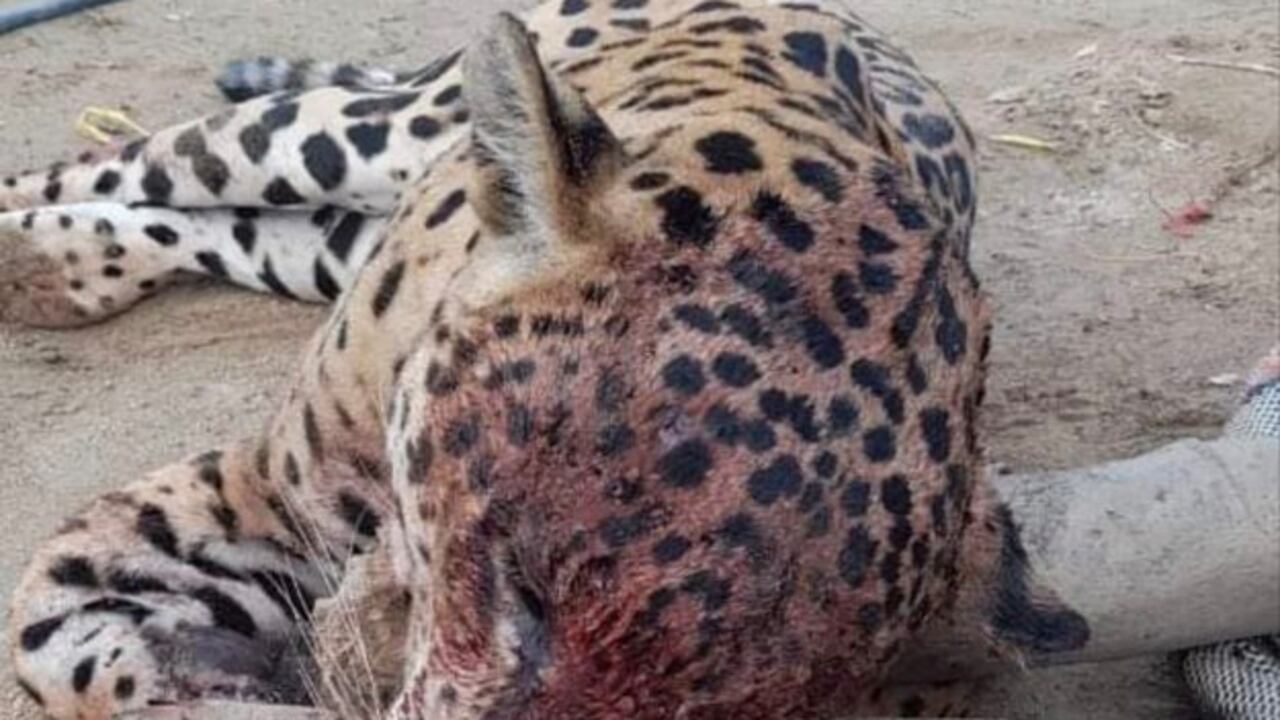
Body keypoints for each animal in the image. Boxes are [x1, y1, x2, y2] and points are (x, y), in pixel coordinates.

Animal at [1, 1, 1091, 718]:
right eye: (515, 592)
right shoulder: (265, 490)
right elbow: (50, 635)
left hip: (330, 232)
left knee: (237, 226)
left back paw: (49, 269)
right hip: (347, 130)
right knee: (149, 161)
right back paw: (27, 246)